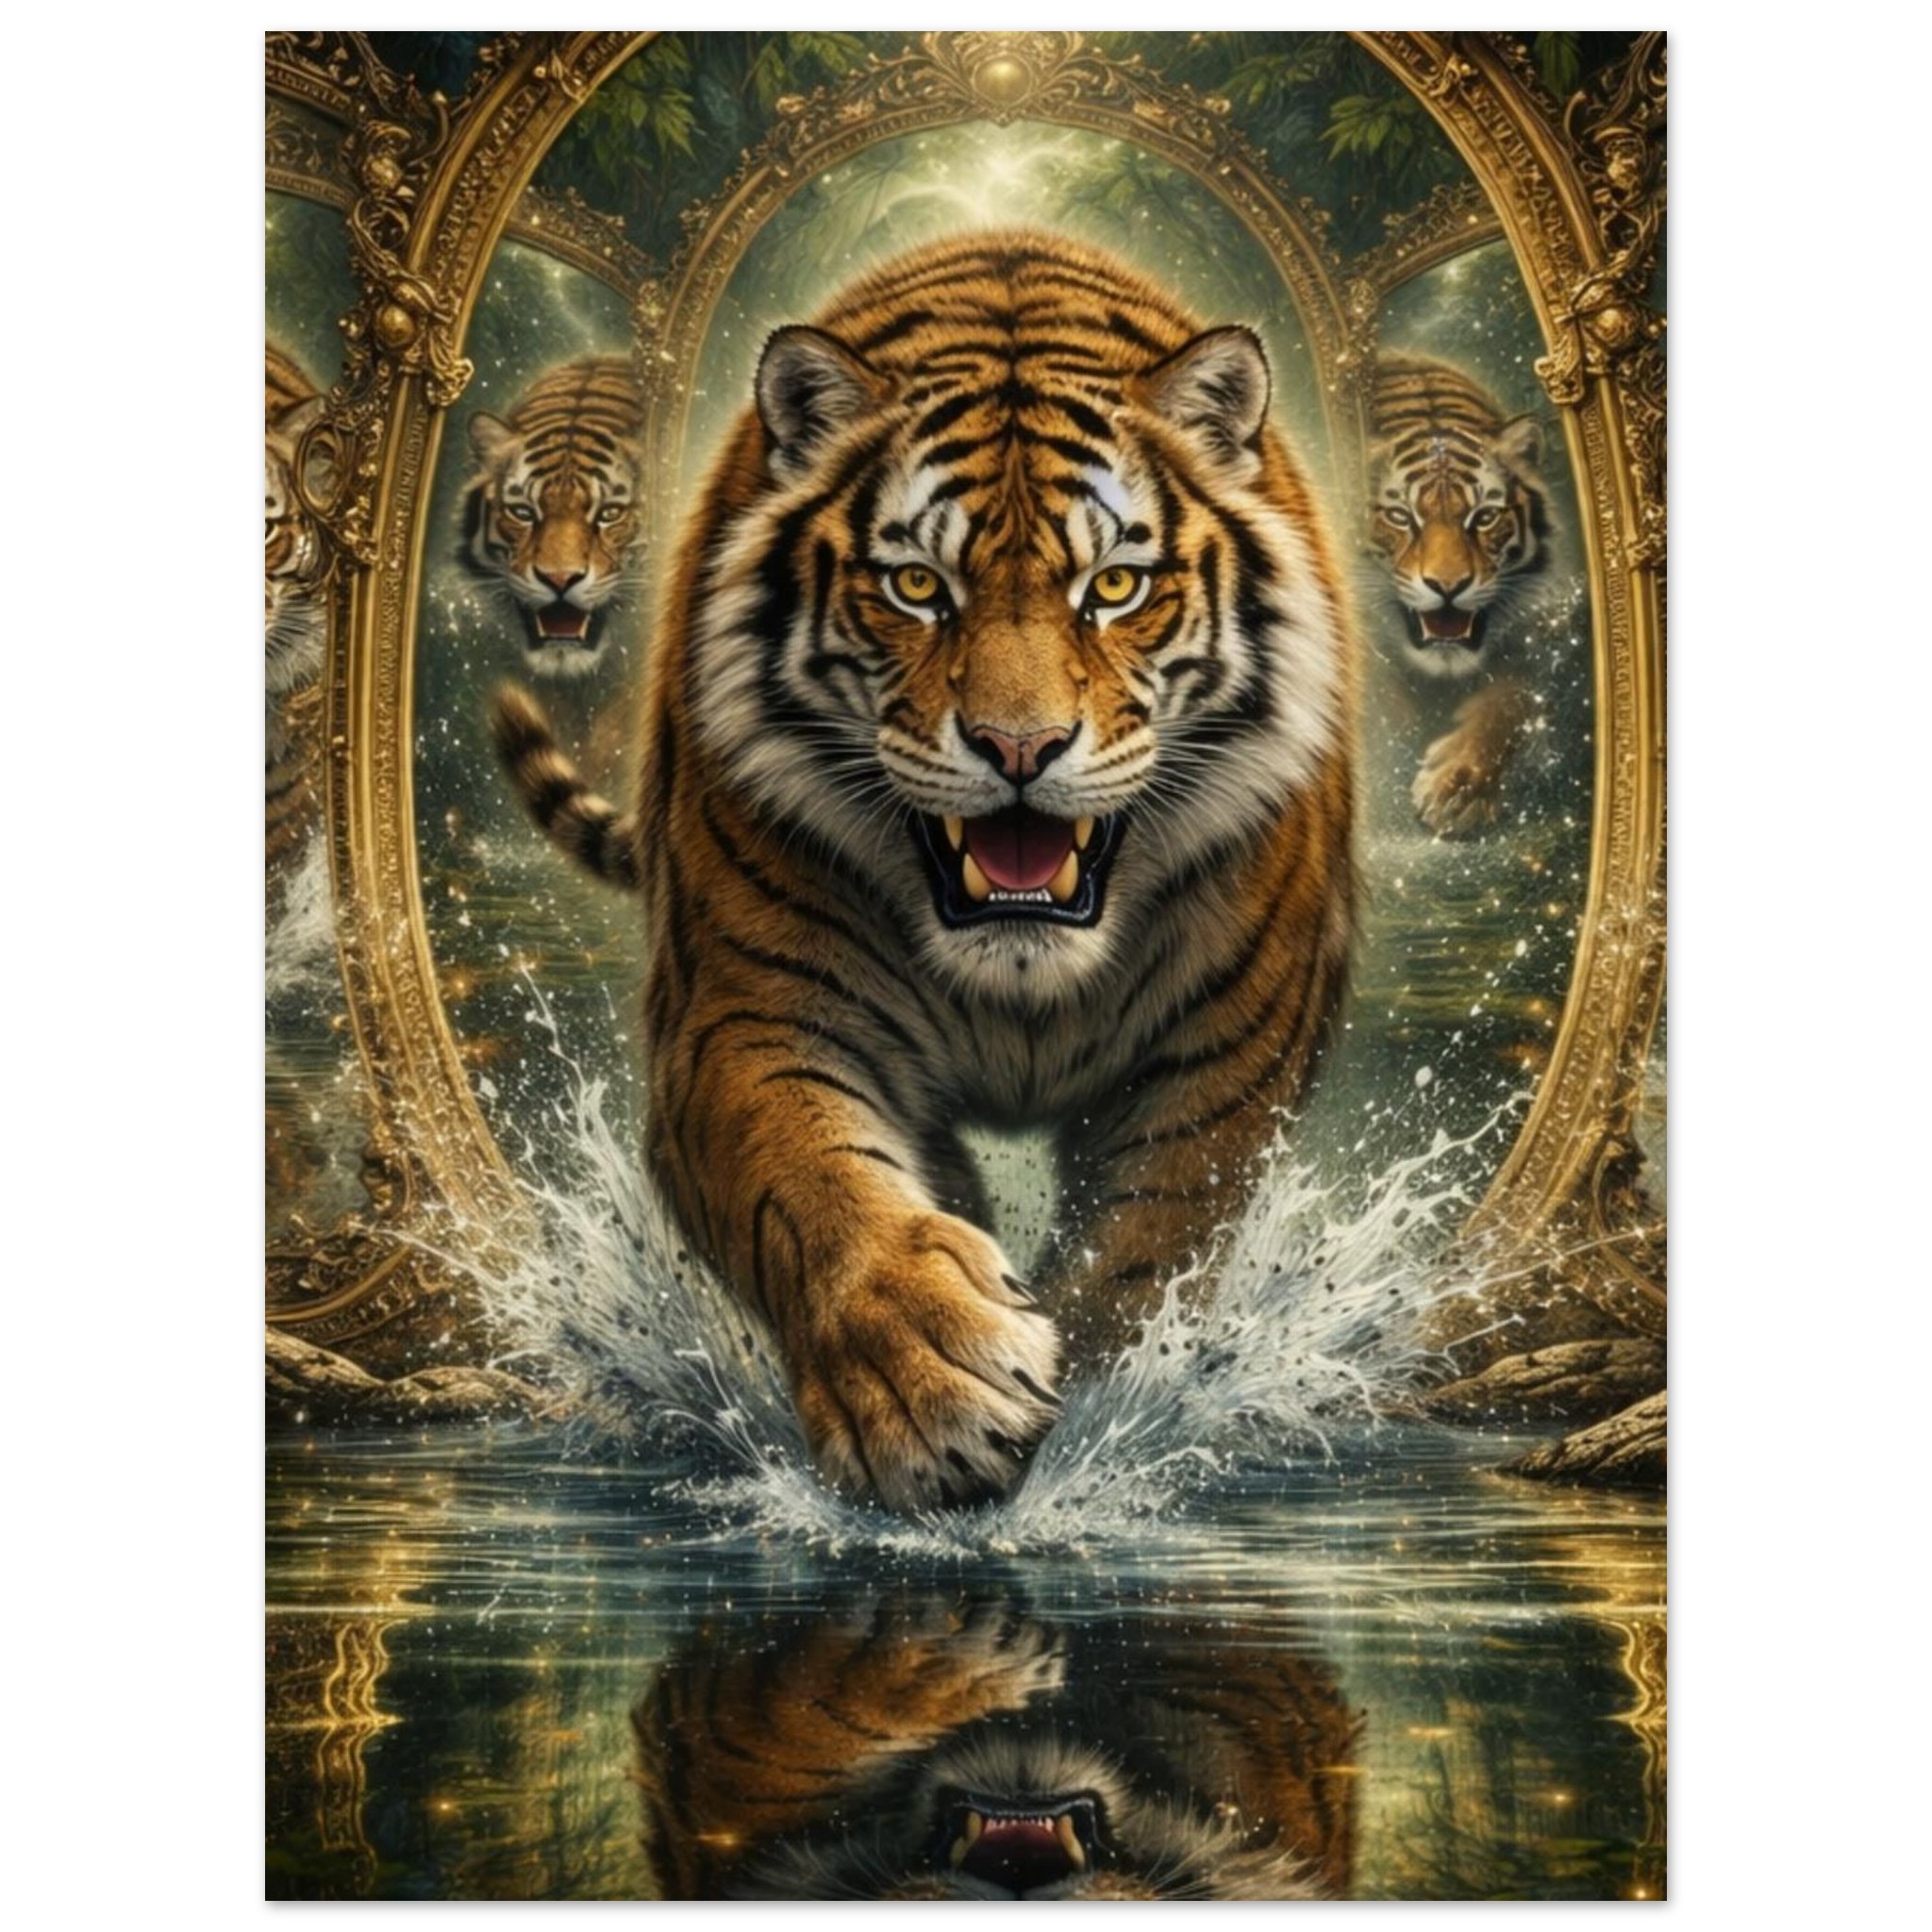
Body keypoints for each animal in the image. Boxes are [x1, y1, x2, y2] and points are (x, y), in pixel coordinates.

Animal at [494, 231, 1357, 1512]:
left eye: (1112, 588)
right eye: (916, 588)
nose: (1017, 747)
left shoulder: (1224, 1060)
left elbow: (1144, 1247)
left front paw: (1095, 1419)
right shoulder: (741, 1019)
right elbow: (812, 1180)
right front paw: (927, 1382)